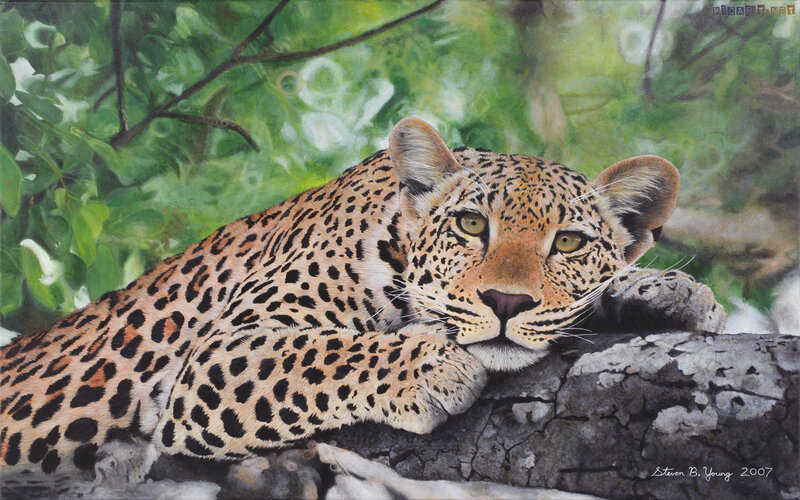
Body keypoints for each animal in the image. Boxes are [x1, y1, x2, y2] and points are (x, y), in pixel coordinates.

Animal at [0, 117, 725, 476]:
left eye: (569, 243)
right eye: (471, 226)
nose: (506, 303)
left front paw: (669, 289)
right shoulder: (218, 353)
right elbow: (324, 353)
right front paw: (432, 366)